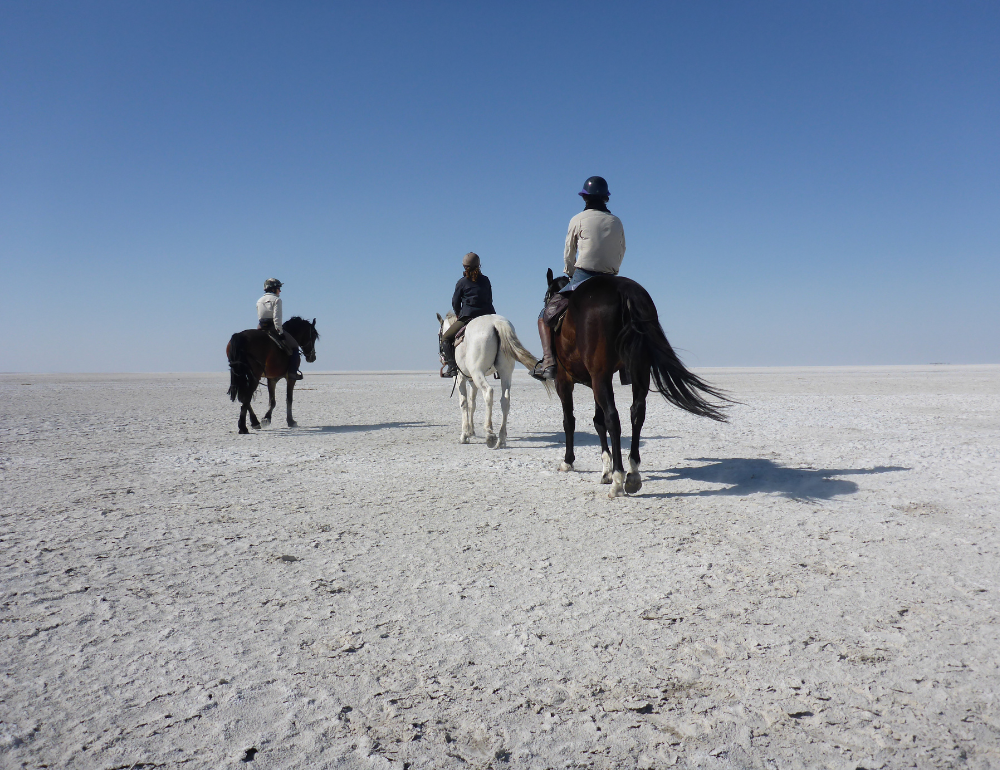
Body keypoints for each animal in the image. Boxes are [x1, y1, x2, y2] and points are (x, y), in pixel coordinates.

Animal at [438, 310, 548, 448]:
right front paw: (471, 431)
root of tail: (496, 322)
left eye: (439, 334)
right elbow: (472, 404)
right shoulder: (472, 381)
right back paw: (501, 439)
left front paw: (465, 435)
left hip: (478, 373)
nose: (441, 356)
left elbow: (464, 403)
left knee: (488, 392)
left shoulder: (459, 379)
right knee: (505, 400)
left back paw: (490, 434)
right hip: (505, 373)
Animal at [548, 270, 728, 498]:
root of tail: (623, 290)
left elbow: (570, 421)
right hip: (638, 369)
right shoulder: (594, 381)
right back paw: (632, 474)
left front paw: (569, 462)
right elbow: (597, 422)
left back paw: (619, 479)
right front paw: (605, 471)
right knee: (637, 413)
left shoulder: (565, 380)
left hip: (601, 374)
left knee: (613, 418)